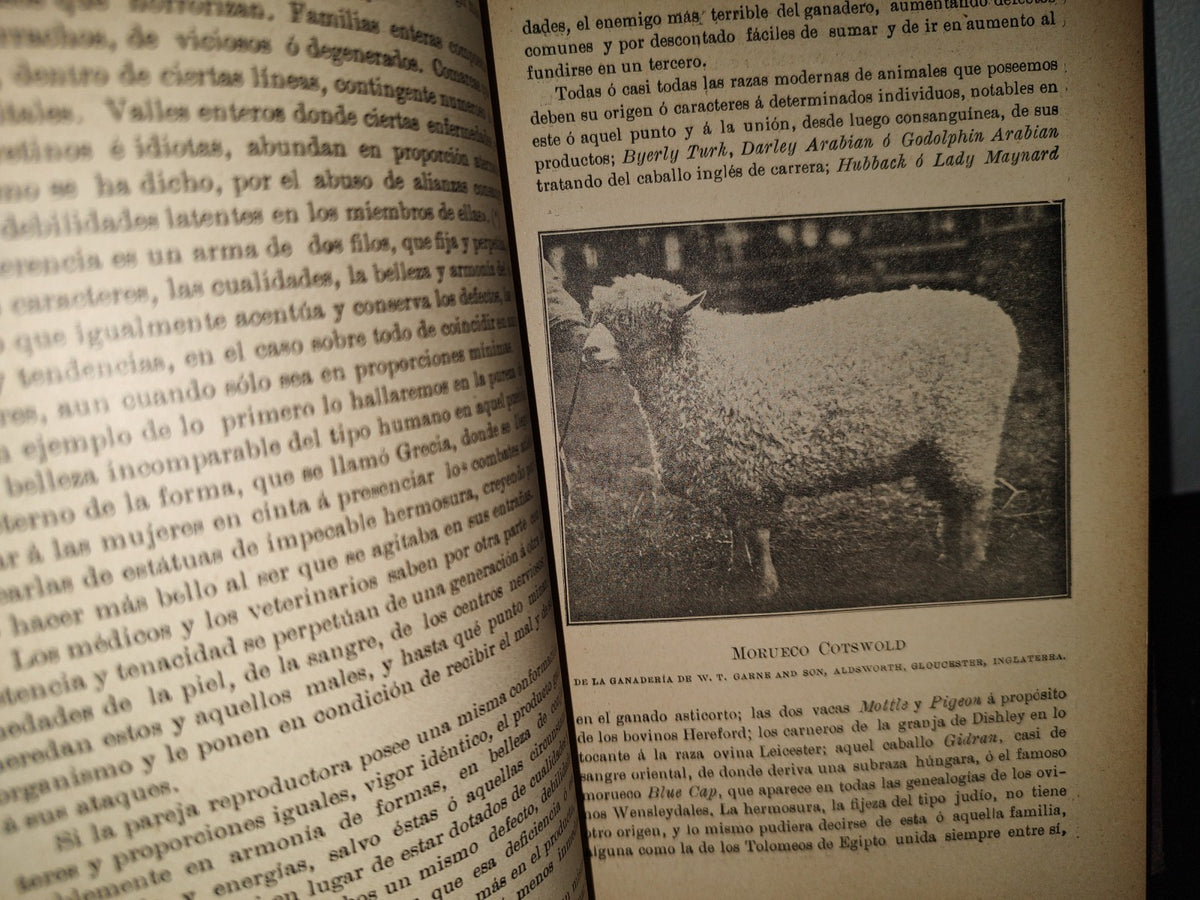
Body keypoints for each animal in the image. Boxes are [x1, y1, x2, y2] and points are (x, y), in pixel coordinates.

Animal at [588, 274, 1020, 599]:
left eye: (639, 322)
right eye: (597, 316)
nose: (588, 350)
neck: (704, 365)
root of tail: (995, 315)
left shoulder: (752, 472)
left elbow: (758, 533)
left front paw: (765, 585)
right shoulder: (726, 471)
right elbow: (733, 525)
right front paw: (735, 568)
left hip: (969, 429)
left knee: (975, 499)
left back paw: (972, 560)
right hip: (937, 445)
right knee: (951, 500)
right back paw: (948, 555)